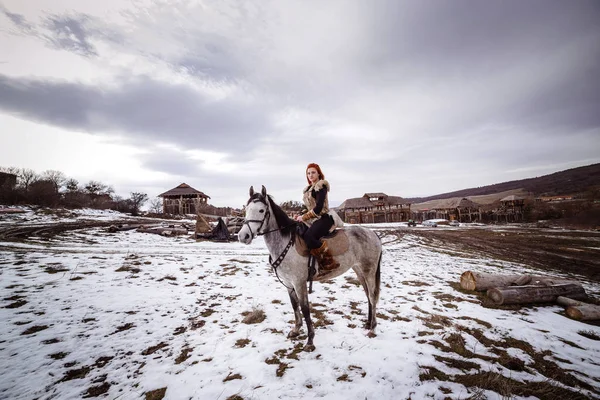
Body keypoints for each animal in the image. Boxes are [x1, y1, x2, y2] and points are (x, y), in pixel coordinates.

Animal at [238, 186, 382, 352]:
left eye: (261, 210)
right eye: (246, 209)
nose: (243, 236)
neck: (286, 243)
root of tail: (373, 234)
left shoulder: (299, 283)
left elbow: (305, 309)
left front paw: (310, 341)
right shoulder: (289, 284)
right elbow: (295, 306)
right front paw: (295, 330)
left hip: (369, 271)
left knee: (372, 296)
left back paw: (373, 329)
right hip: (359, 271)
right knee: (368, 296)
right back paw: (368, 324)